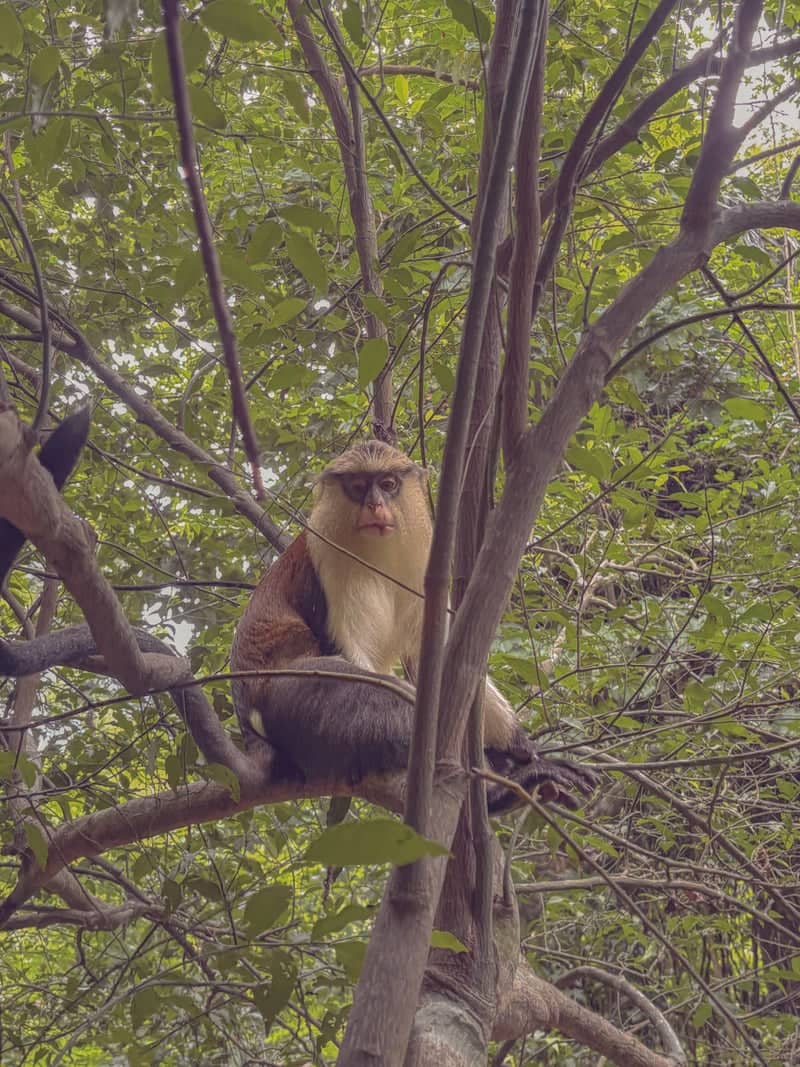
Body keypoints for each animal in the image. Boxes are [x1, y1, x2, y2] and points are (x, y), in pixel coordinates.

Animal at [231, 440, 594, 812]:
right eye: (358, 486)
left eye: (388, 484)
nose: (375, 504)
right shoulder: (327, 557)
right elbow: (356, 660)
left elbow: (437, 661)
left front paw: (520, 746)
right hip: (289, 696)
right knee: (362, 690)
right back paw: (500, 787)